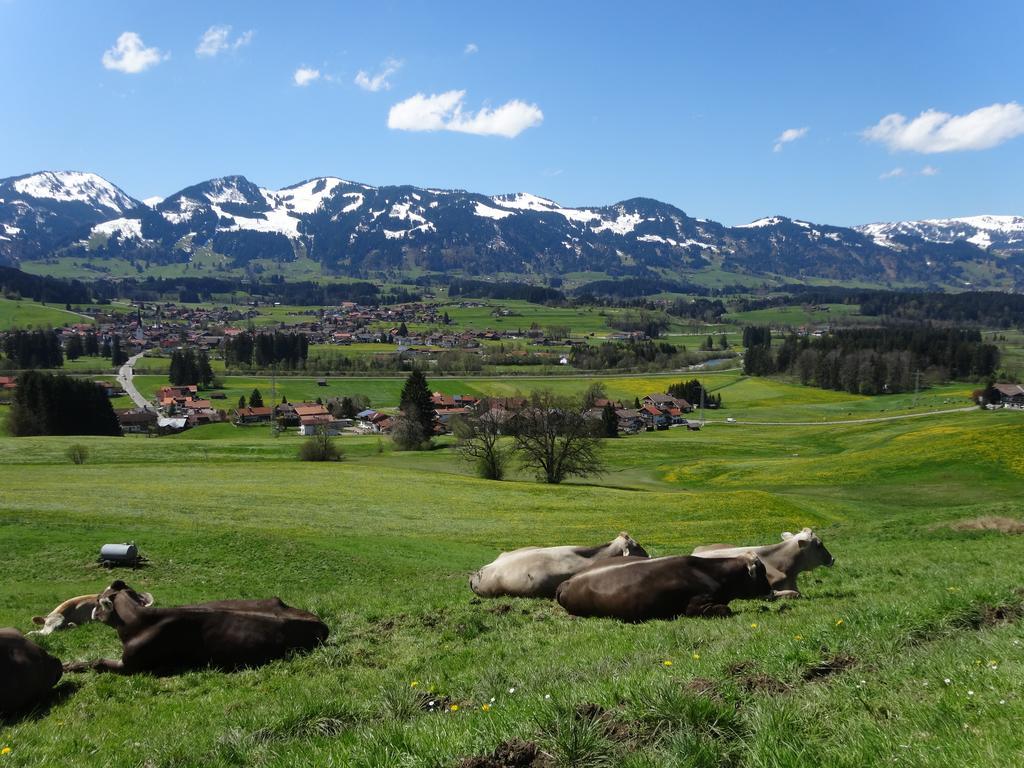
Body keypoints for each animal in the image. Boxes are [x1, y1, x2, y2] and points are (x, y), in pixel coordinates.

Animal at [62, 581, 327, 675]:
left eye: (99, 599)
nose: (93, 612)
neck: (137, 621)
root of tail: (321, 623)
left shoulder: (132, 665)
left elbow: (97, 662)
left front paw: (68, 665)